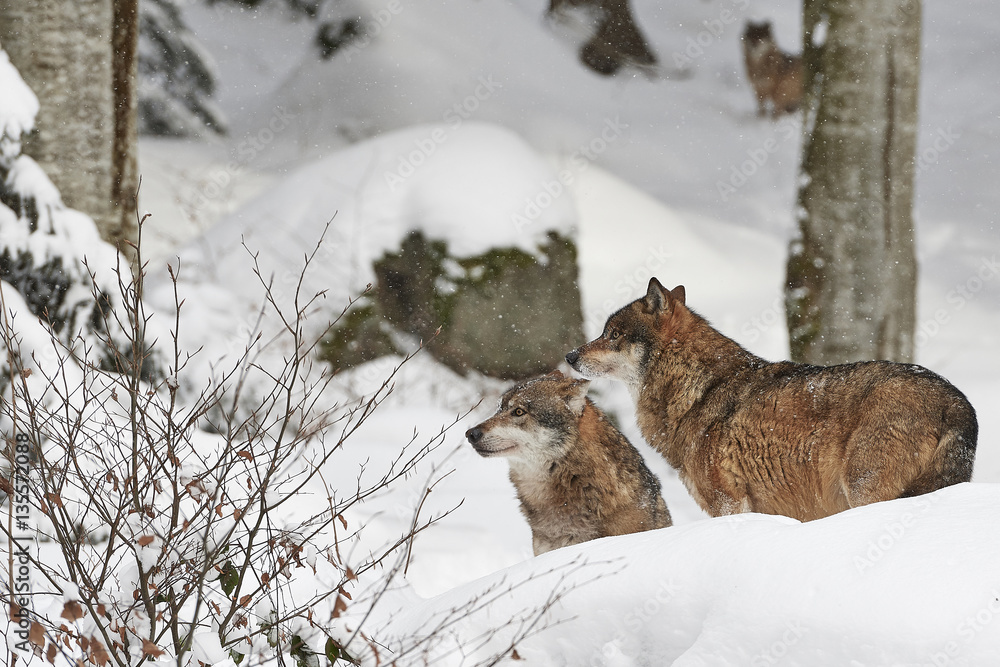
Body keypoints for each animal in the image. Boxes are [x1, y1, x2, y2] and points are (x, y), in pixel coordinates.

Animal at [566, 278, 978, 521]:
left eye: (612, 334)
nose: (570, 356)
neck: (696, 389)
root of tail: (957, 402)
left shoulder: (729, 504)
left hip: (865, 492)